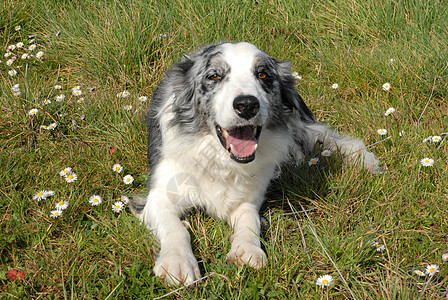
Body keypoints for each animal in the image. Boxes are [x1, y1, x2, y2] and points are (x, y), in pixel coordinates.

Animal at [131, 41, 380, 284]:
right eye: (214, 76)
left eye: (263, 75)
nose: (247, 105)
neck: (221, 161)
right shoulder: (159, 196)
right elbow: (176, 227)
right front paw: (178, 262)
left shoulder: (249, 198)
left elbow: (251, 220)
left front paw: (248, 250)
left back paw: (364, 160)